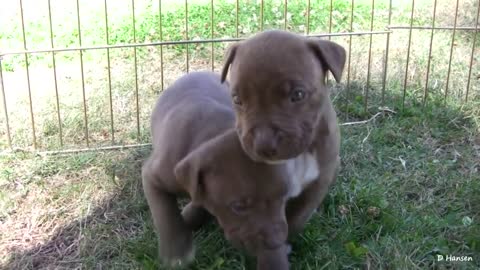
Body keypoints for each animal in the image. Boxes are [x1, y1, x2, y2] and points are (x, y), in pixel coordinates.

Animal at [142, 70, 290, 268]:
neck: (214, 132)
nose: (276, 241)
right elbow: (166, 215)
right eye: (238, 207)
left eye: (283, 196)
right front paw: (177, 253)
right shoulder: (153, 177)